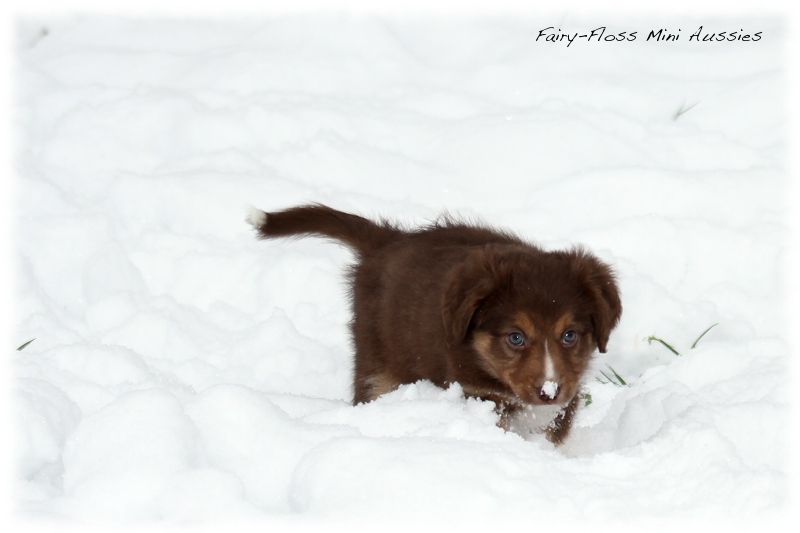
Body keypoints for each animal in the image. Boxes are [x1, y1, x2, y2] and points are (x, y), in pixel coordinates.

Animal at [247, 204, 620, 444]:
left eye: (569, 335)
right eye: (515, 338)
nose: (548, 392)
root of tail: (387, 241)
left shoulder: (566, 398)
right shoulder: (476, 392)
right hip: (376, 365)